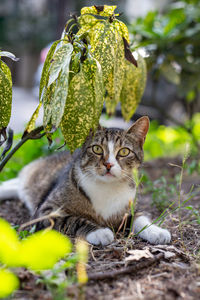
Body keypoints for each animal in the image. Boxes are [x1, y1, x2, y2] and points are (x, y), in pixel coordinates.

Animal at [0, 116, 170, 245]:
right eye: (97, 149)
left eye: (124, 152)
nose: (108, 164)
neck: (107, 188)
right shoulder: (45, 211)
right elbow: (73, 219)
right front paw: (99, 232)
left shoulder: (128, 209)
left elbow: (139, 218)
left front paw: (156, 231)